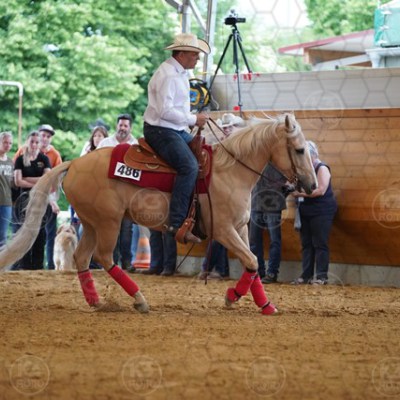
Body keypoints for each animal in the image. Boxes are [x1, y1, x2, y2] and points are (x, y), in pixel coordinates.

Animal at [0, 113, 317, 315]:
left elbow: (253, 263)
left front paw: (265, 305)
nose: (312, 186)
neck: (231, 171)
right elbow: (251, 260)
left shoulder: (239, 228)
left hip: (90, 223)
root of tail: (75, 163)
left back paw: (96, 302)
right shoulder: (224, 230)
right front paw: (232, 297)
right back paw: (139, 299)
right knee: (103, 257)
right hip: (108, 222)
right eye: (300, 150)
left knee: (81, 257)